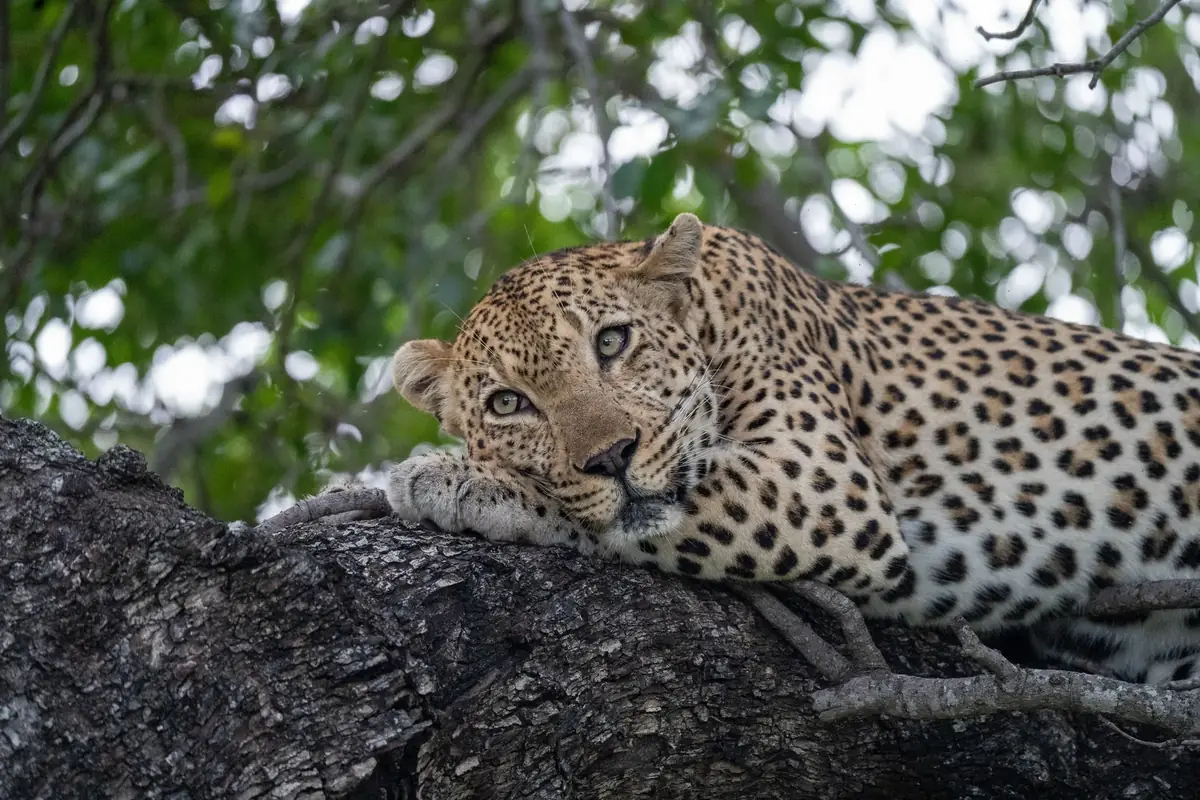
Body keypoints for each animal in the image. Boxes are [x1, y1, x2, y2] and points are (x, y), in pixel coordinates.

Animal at [383, 212, 1200, 685]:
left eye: (612, 342)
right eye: (508, 404)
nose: (611, 456)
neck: (711, 313)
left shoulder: (823, 478)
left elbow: (610, 515)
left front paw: (454, 481)